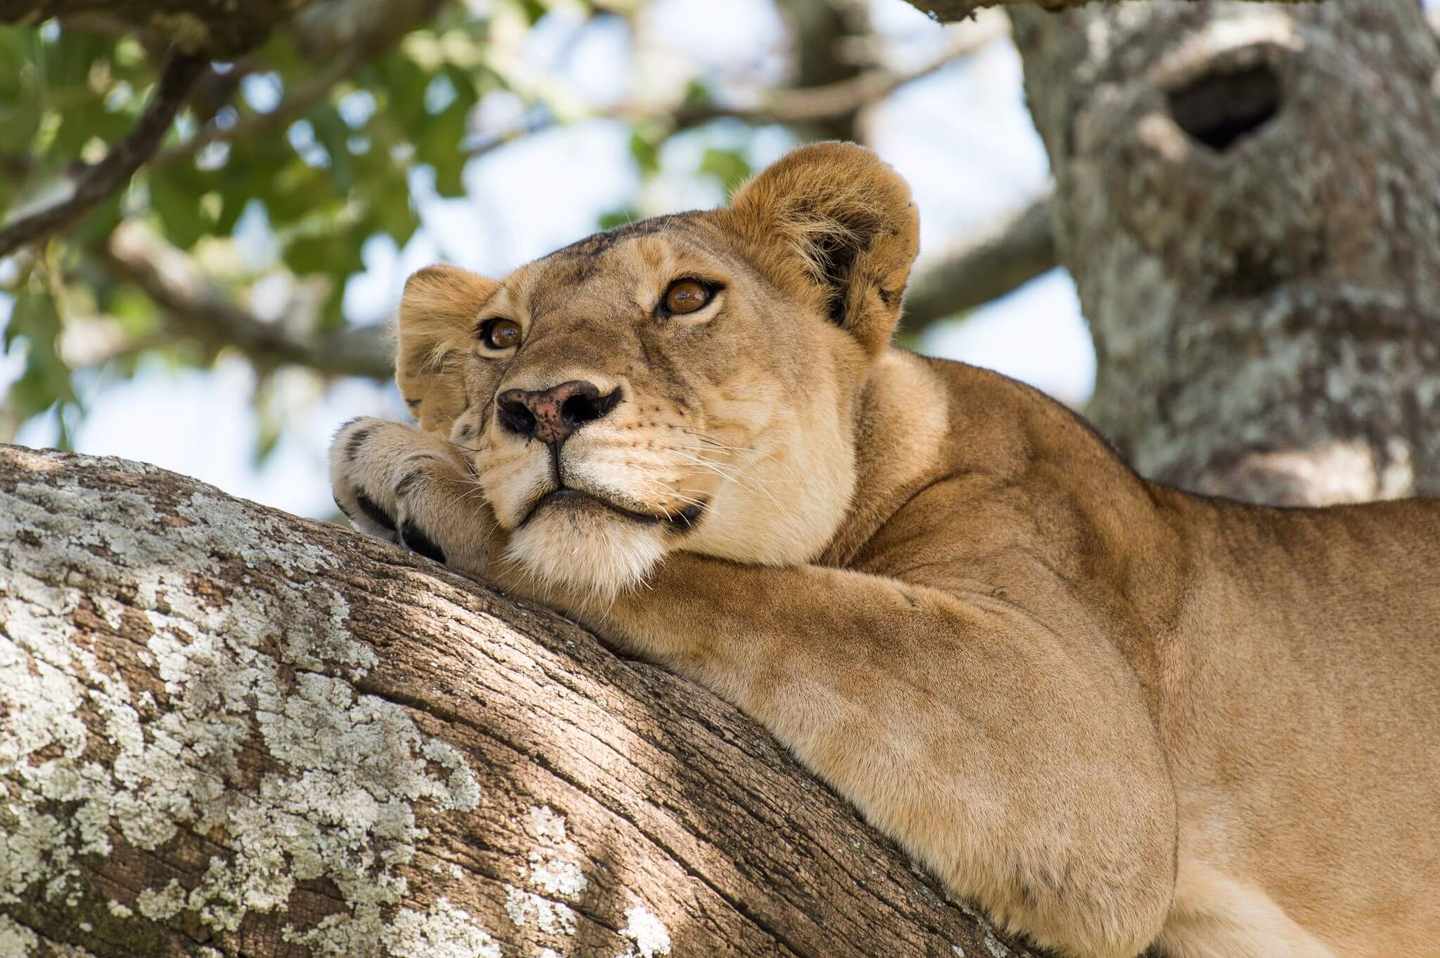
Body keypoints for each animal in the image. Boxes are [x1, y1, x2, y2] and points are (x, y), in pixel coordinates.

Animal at [330, 142, 1440, 958]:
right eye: (498, 335)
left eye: (686, 299)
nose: (545, 406)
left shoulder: (1080, 743)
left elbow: (757, 590)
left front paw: (411, 465)